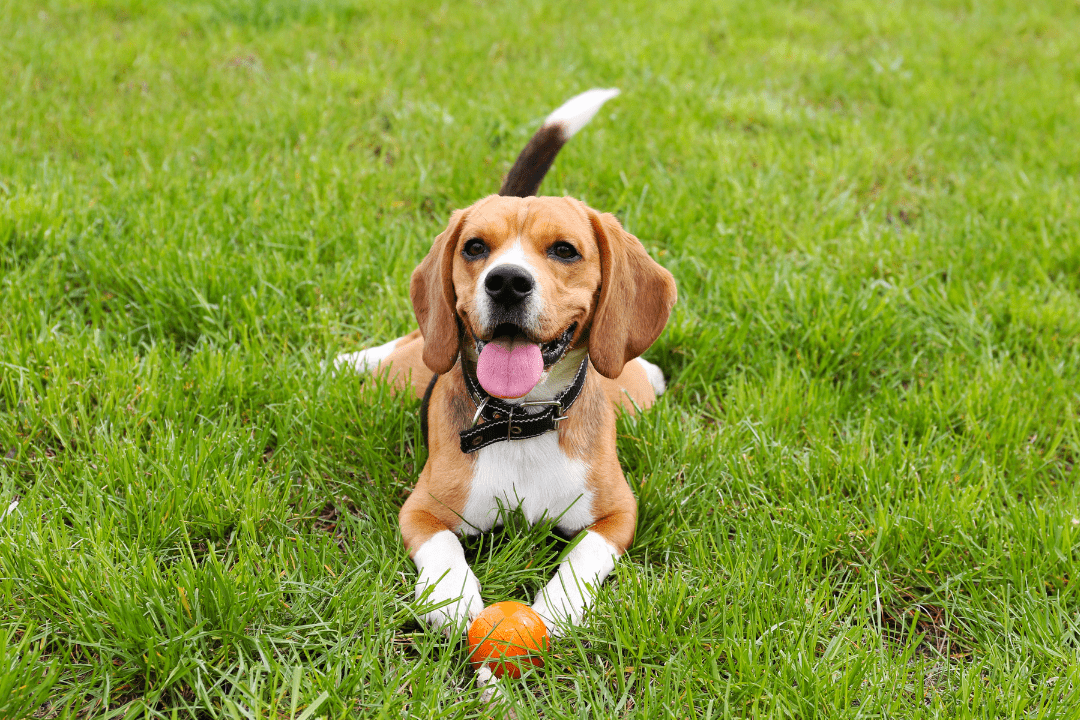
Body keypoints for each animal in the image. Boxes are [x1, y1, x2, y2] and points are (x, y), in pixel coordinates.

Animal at [336, 90, 673, 634]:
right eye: (475, 247)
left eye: (565, 251)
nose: (507, 282)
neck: (522, 421)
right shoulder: (422, 510)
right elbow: (442, 546)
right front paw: (450, 595)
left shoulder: (619, 515)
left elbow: (584, 556)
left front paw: (559, 607)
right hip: (410, 365)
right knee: (406, 345)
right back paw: (348, 360)